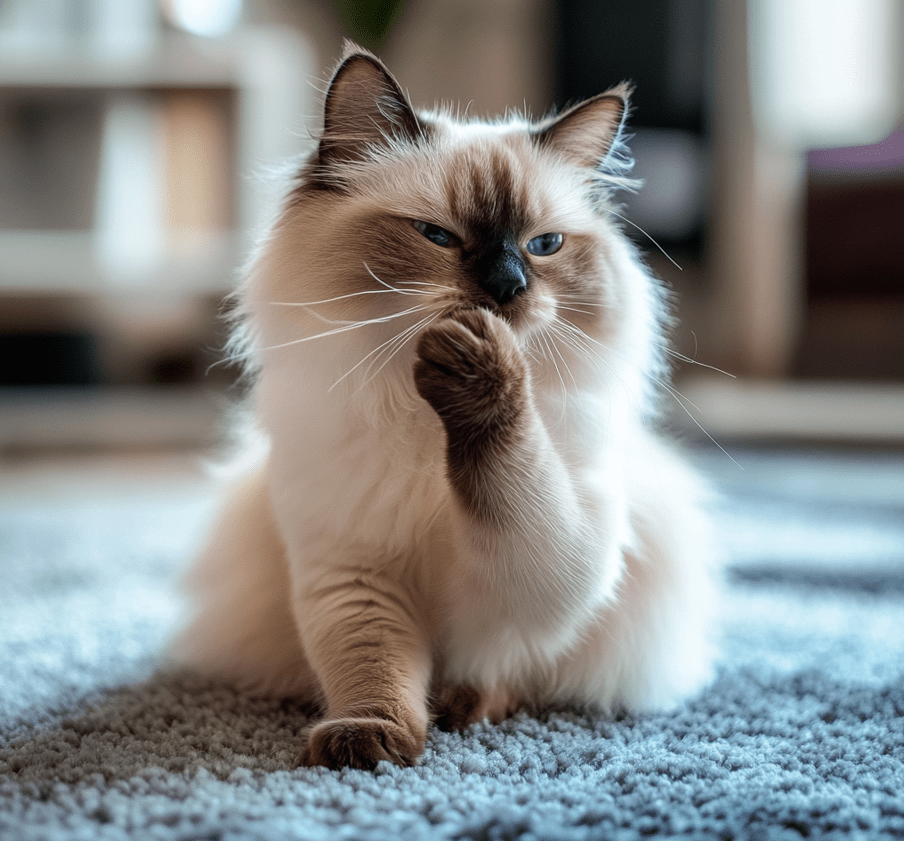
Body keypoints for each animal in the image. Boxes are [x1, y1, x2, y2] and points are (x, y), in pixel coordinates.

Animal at [173, 44, 716, 768]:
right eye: (436, 235)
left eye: (544, 246)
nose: (506, 287)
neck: (424, 426)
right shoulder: (355, 571)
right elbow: (374, 667)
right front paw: (371, 741)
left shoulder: (541, 565)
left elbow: (510, 497)